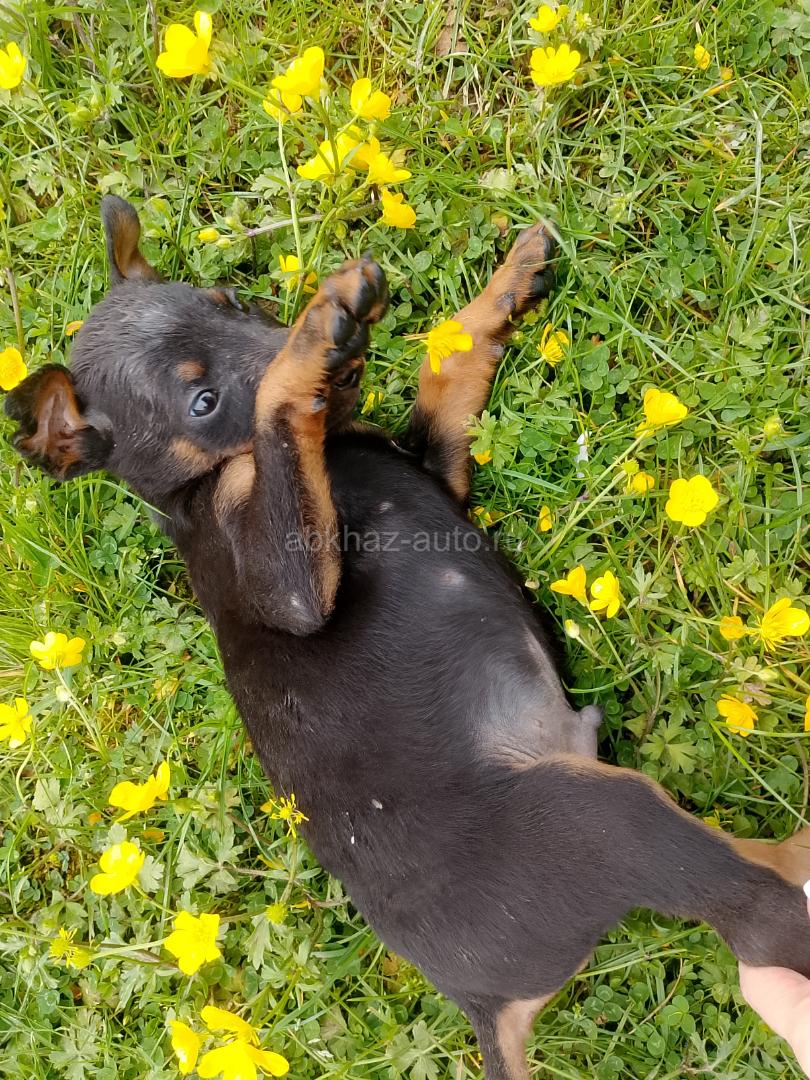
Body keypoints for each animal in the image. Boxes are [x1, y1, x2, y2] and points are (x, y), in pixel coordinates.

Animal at [5, 196, 810, 1079]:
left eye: (234, 301)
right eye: (203, 404)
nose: (349, 357)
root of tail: (485, 1006)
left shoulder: (433, 461)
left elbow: (444, 360)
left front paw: (505, 283)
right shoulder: (288, 584)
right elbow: (287, 434)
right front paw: (320, 329)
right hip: (606, 817)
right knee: (760, 910)